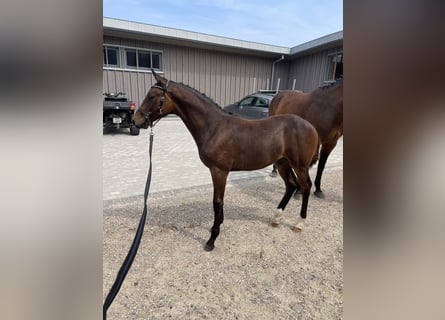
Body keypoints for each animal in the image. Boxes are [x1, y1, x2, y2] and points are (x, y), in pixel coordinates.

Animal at [133, 69, 320, 250]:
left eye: (152, 96)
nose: (136, 121)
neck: (214, 127)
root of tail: (311, 126)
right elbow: (219, 204)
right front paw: (216, 227)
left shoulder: (219, 171)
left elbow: (217, 202)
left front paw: (212, 238)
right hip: (282, 163)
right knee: (291, 185)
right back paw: (276, 218)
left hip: (299, 165)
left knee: (305, 186)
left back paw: (299, 223)